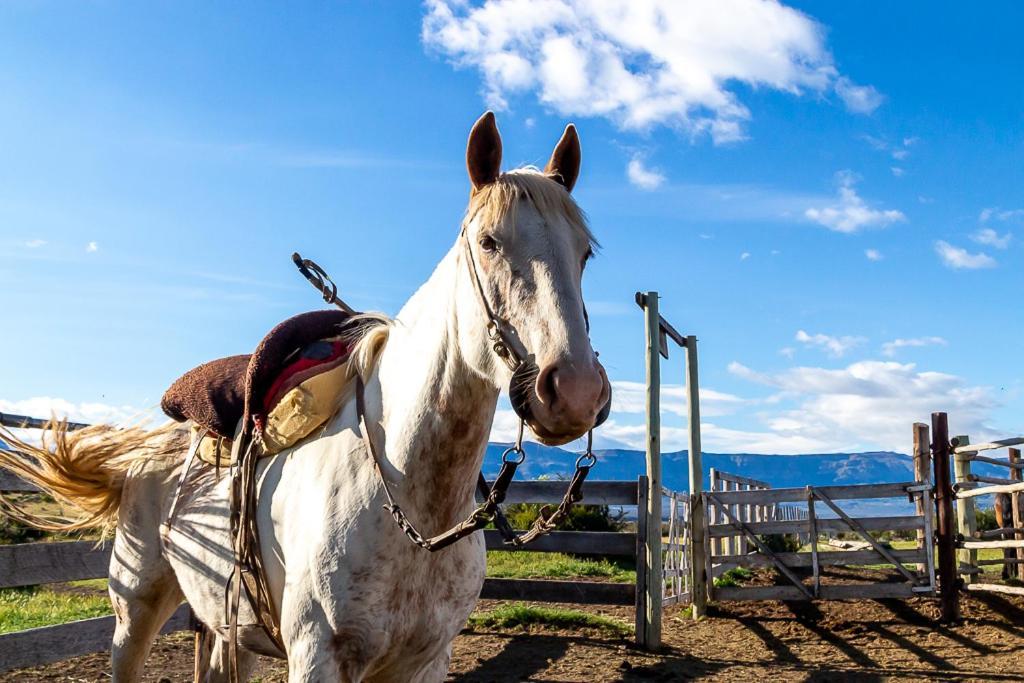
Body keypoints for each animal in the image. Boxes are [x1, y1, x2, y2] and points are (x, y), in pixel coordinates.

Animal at [0, 113, 606, 683]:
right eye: (489, 242)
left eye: (584, 254)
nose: (573, 391)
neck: (415, 502)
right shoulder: (318, 658)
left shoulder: (426, 661)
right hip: (135, 611)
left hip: (230, 626)